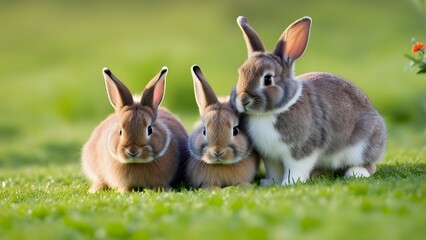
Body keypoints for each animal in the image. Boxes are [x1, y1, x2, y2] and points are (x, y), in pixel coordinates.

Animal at [231, 16, 388, 186]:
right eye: (240, 74)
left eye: (267, 79)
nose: (243, 100)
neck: (271, 112)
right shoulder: (270, 156)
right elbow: (274, 171)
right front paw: (269, 182)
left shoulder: (300, 150)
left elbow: (296, 168)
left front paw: (289, 183)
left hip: (361, 147)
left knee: (368, 165)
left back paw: (355, 173)